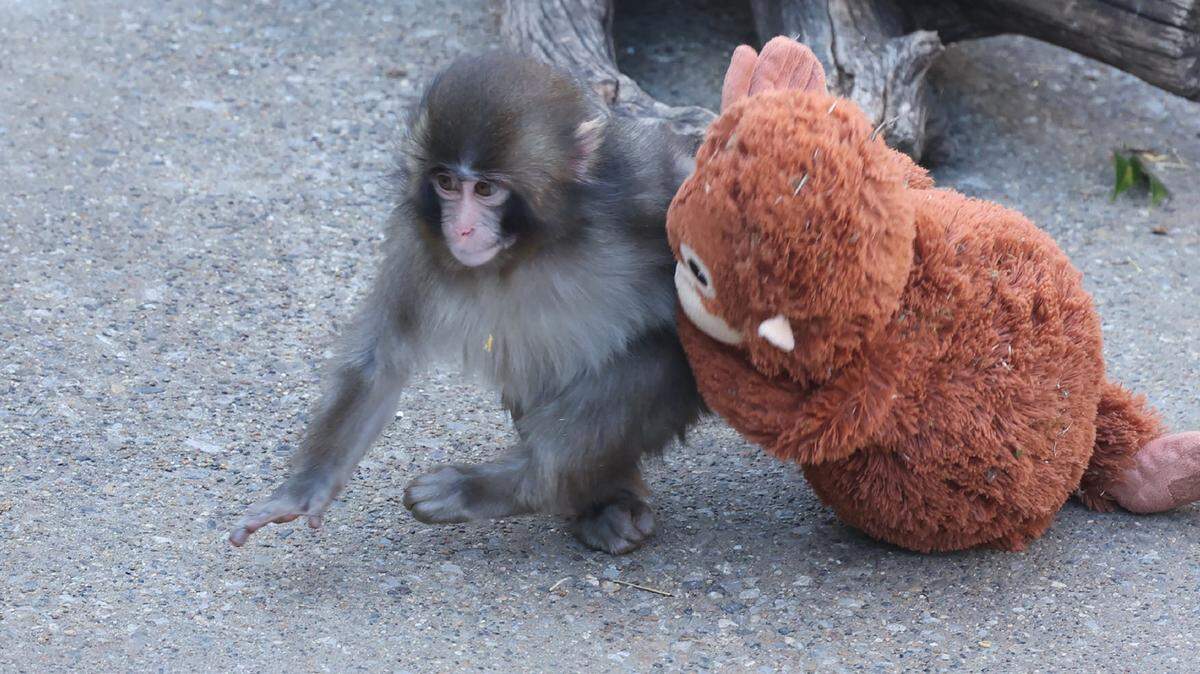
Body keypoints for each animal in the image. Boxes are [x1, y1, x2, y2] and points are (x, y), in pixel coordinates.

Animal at [228, 53, 705, 554]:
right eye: (445, 183)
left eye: (485, 190)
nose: (460, 229)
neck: (537, 245)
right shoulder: (418, 241)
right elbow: (380, 360)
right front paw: (303, 490)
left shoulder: (648, 189)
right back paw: (601, 502)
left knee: (656, 360)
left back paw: (511, 486)